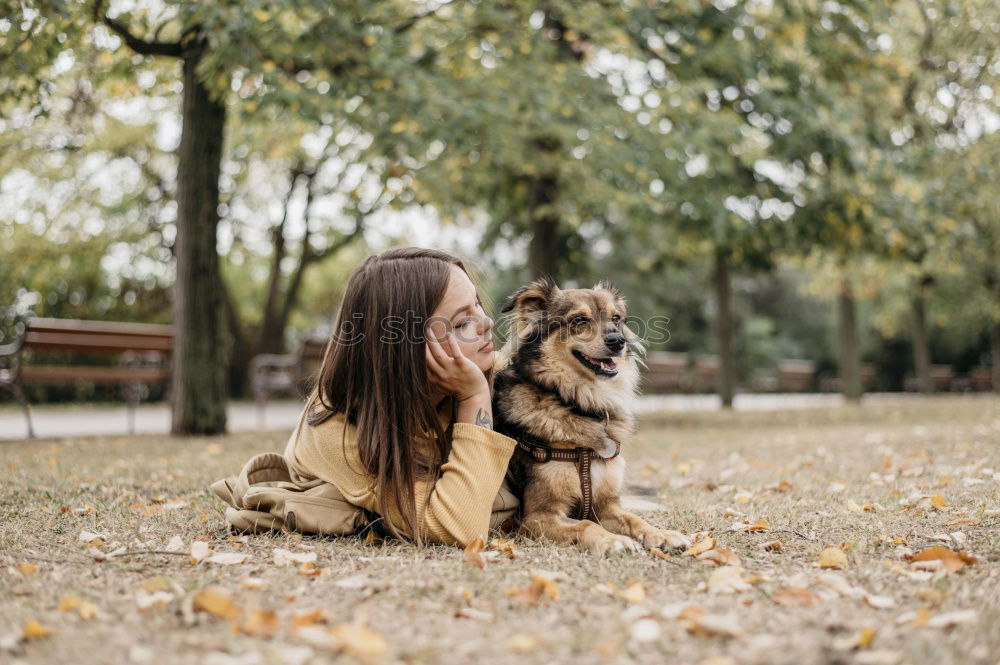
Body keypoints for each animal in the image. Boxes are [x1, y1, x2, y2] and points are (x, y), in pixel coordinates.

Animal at [494, 276, 692, 556]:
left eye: (616, 318)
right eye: (579, 320)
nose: (618, 341)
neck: (578, 403)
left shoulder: (605, 505)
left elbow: (634, 519)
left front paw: (662, 534)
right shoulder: (537, 516)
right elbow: (585, 524)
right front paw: (613, 540)